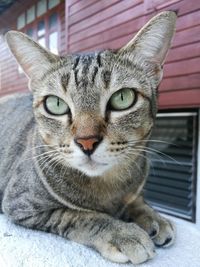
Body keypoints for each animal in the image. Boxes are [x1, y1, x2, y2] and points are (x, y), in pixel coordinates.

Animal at [0, 11, 177, 266]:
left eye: (123, 98)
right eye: (55, 104)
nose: (87, 142)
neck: (108, 185)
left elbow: (134, 199)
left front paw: (152, 216)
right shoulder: (20, 204)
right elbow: (78, 215)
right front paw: (122, 232)